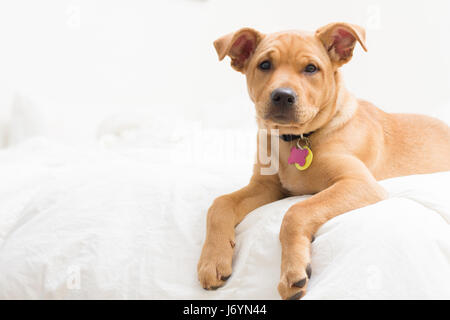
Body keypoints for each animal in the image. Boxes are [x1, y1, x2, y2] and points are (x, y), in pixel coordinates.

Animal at [198, 23, 450, 300]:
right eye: (264, 65)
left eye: (311, 68)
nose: (282, 96)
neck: (295, 139)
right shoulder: (265, 186)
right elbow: (220, 204)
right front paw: (212, 261)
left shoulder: (359, 182)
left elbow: (295, 212)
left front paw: (292, 271)